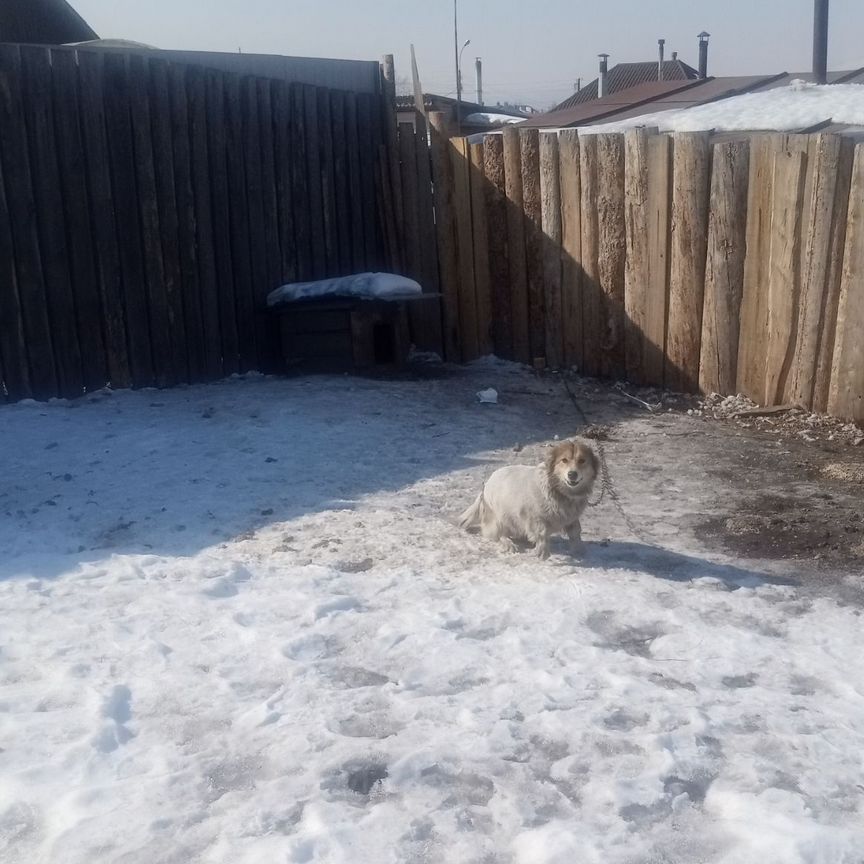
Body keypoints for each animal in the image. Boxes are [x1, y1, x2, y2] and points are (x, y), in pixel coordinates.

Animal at [462, 438, 596, 560]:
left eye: (582, 461)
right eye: (564, 460)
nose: (572, 474)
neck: (559, 491)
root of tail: (486, 486)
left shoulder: (571, 517)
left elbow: (576, 532)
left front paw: (579, 550)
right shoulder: (534, 518)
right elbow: (542, 533)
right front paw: (542, 552)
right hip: (500, 518)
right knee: (497, 534)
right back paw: (508, 544)